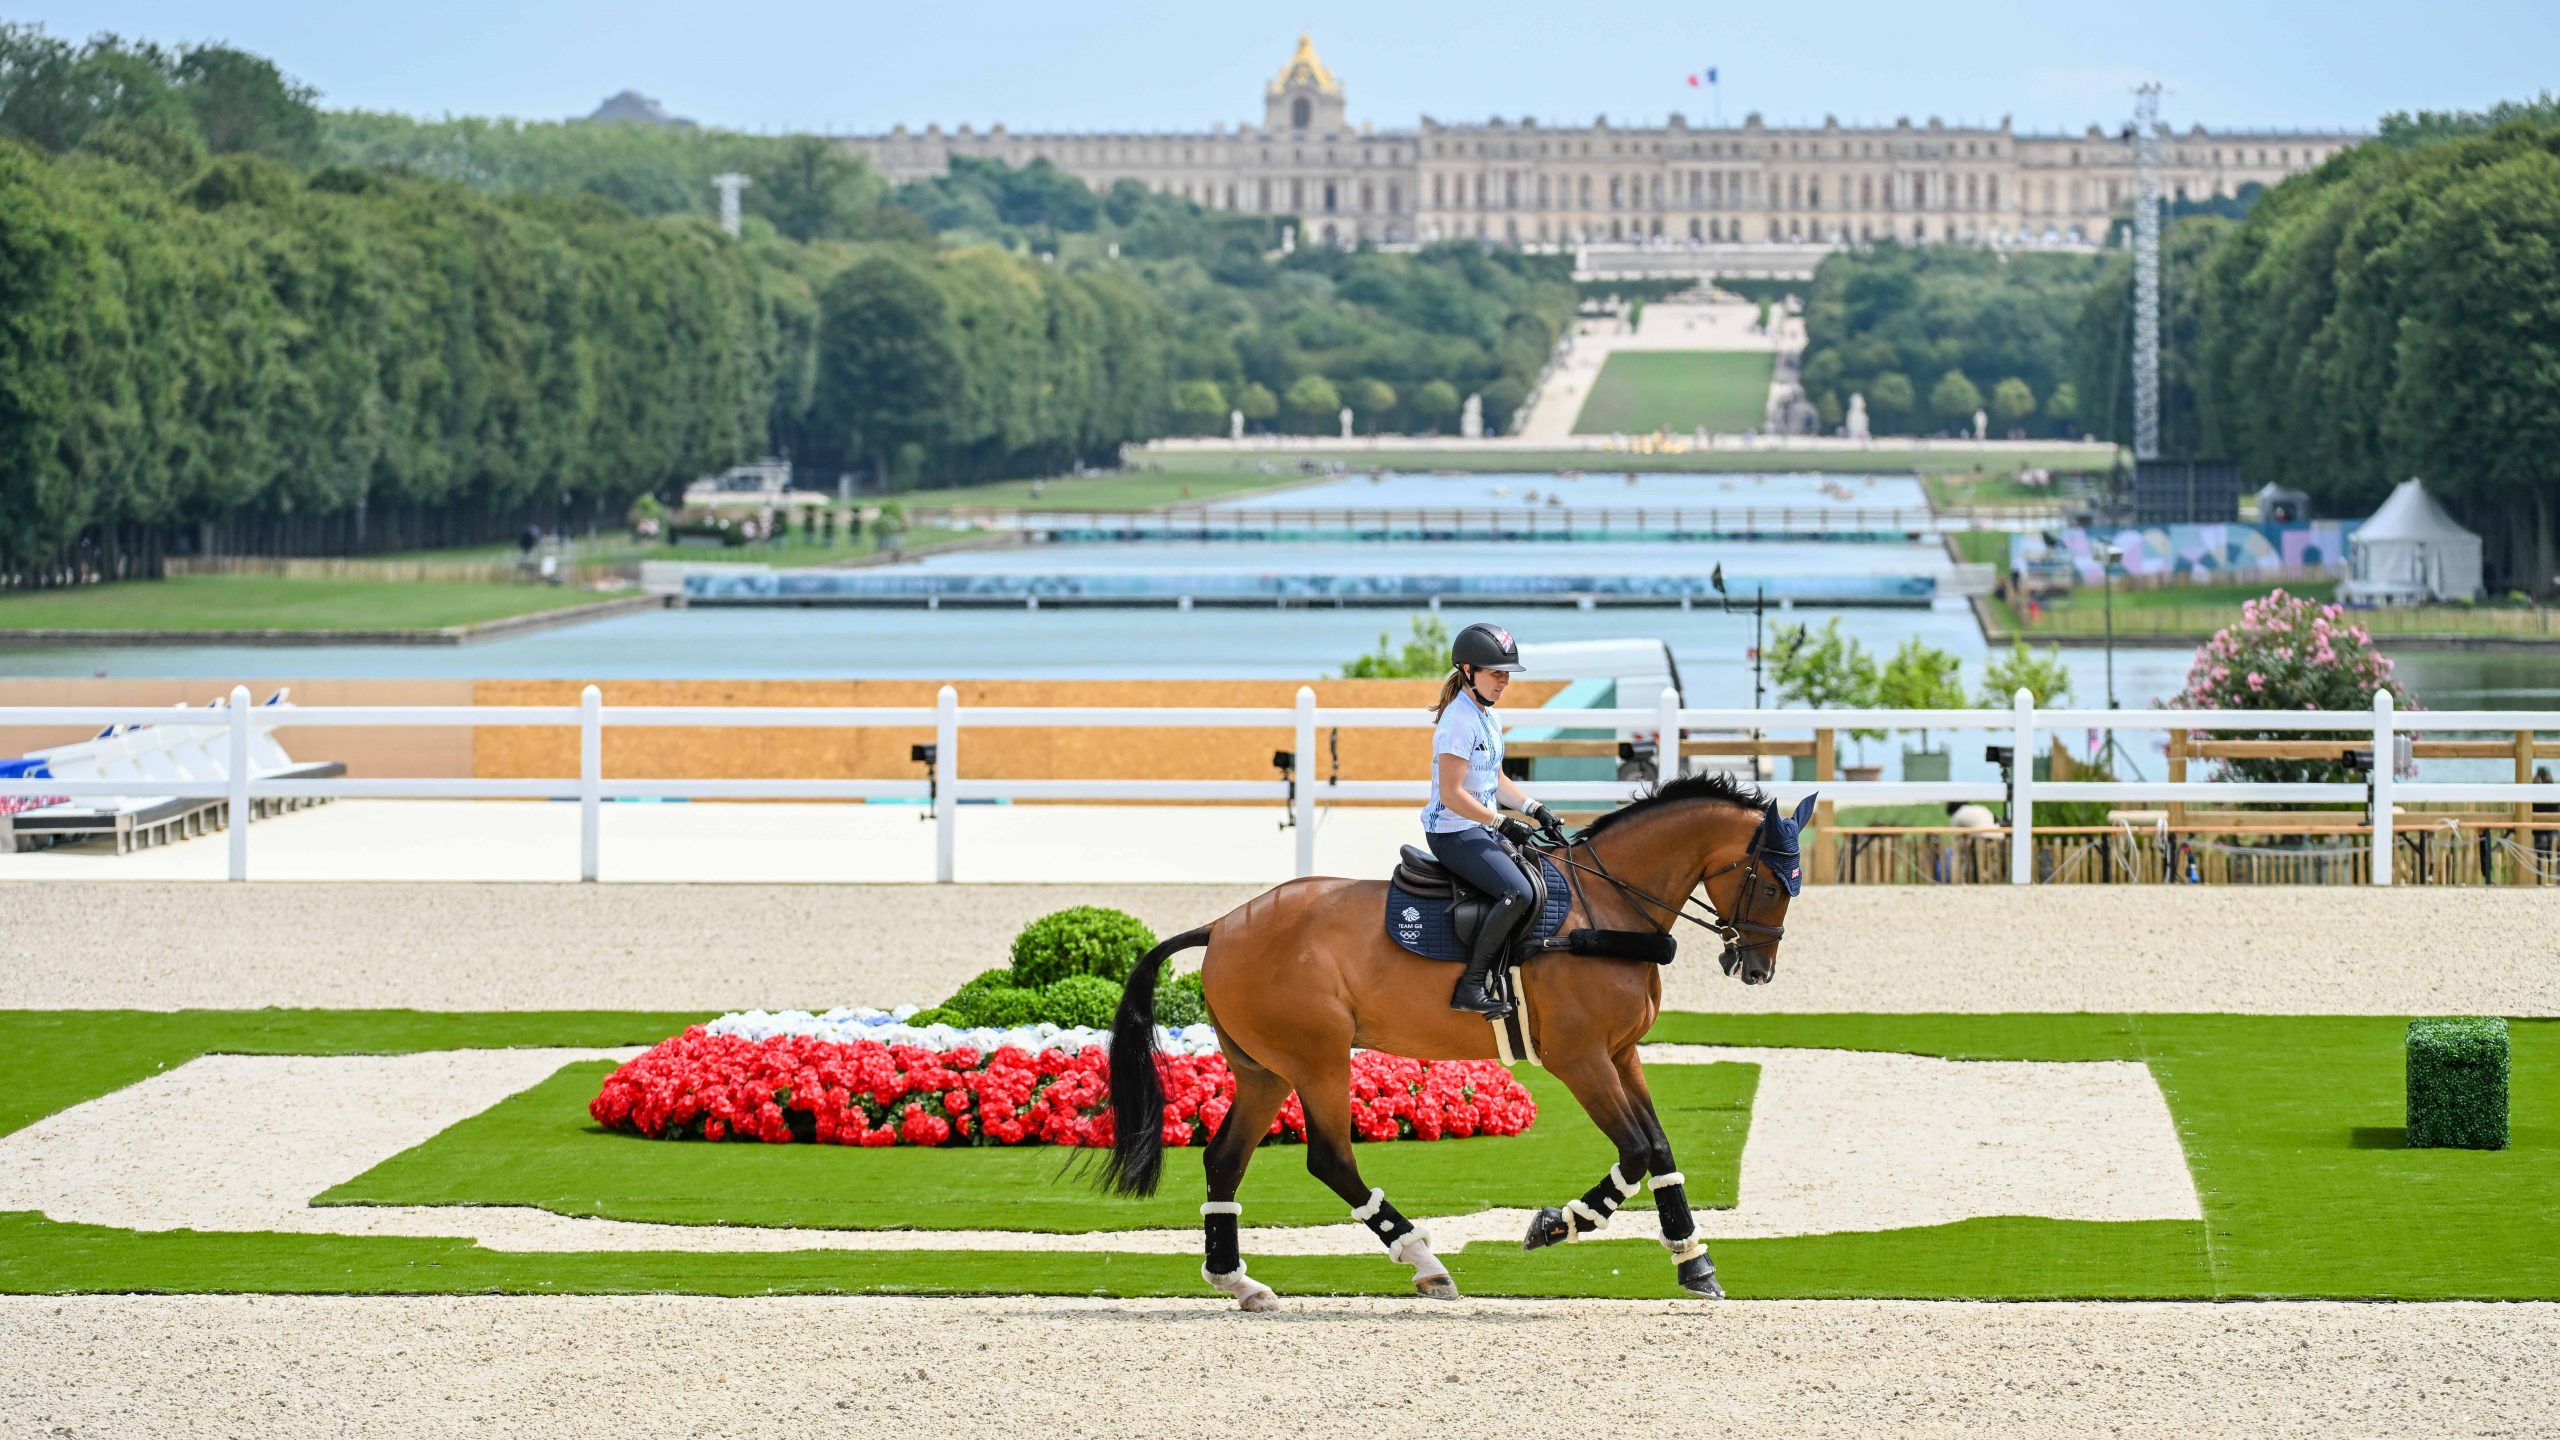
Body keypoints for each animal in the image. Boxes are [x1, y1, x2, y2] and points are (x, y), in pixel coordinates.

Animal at [1099, 773, 1814, 1309]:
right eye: (1770, 883)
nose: (1757, 969)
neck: (1604, 906)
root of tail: (1223, 924)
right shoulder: (1580, 1059)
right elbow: (1635, 1151)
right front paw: (1558, 1224)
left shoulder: (1621, 1054)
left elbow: (1660, 1150)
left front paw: (1693, 1260)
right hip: (1318, 1060)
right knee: (1330, 1159)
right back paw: (1423, 1259)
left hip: (1265, 1071)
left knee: (1225, 1159)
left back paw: (1238, 1280)